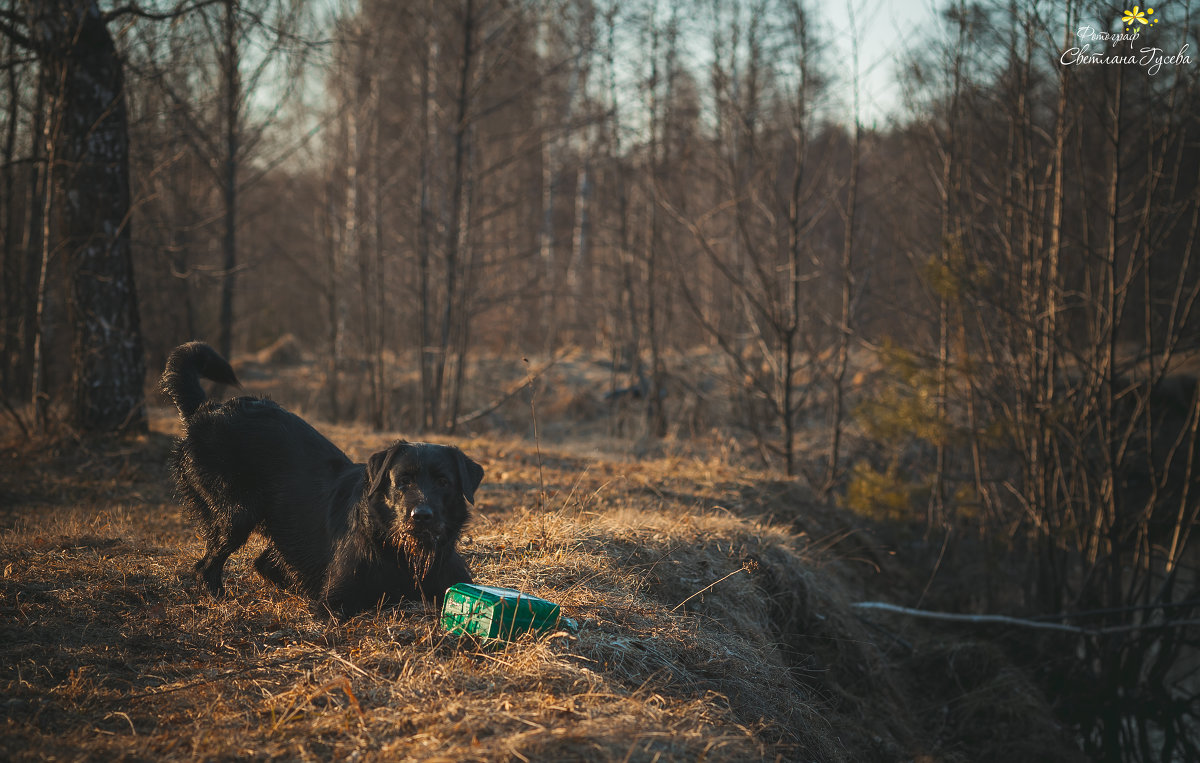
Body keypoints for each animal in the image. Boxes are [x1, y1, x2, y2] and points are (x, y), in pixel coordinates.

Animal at [160, 343, 482, 619]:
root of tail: (206, 410)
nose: (421, 516)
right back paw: (221, 600)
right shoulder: (336, 602)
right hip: (236, 514)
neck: (406, 557)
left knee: (263, 562)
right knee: (206, 567)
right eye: (402, 481)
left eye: (443, 482)